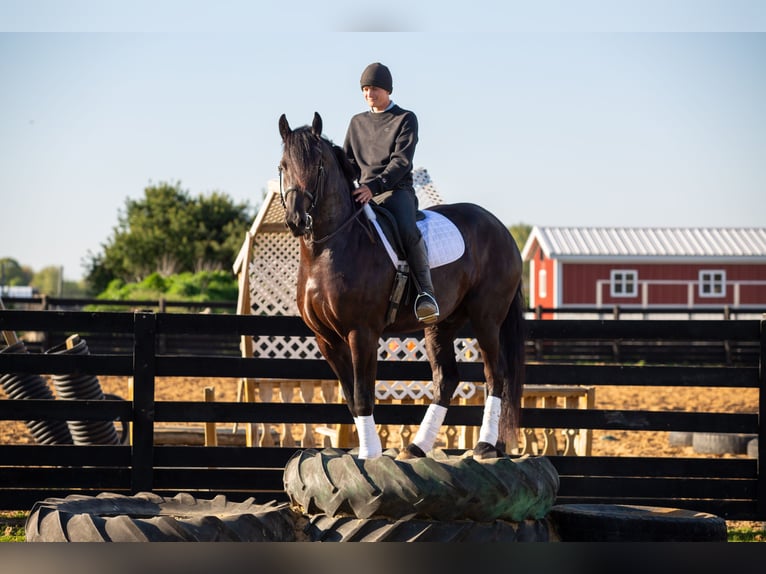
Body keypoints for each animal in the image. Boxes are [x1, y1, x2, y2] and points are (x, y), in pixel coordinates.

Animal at [278, 112, 526, 460]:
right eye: (283, 165)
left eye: (318, 165)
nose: (297, 220)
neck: (328, 249)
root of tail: (501, 230)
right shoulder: (326, 339)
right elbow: (351, 397)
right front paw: (368, 452)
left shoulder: (361, 333)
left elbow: (363, 394)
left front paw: (369, 456)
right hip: (440, 324)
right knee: (446, 379)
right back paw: (417, 447)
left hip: (487, 319)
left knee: (495, 375)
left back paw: (486, 445)